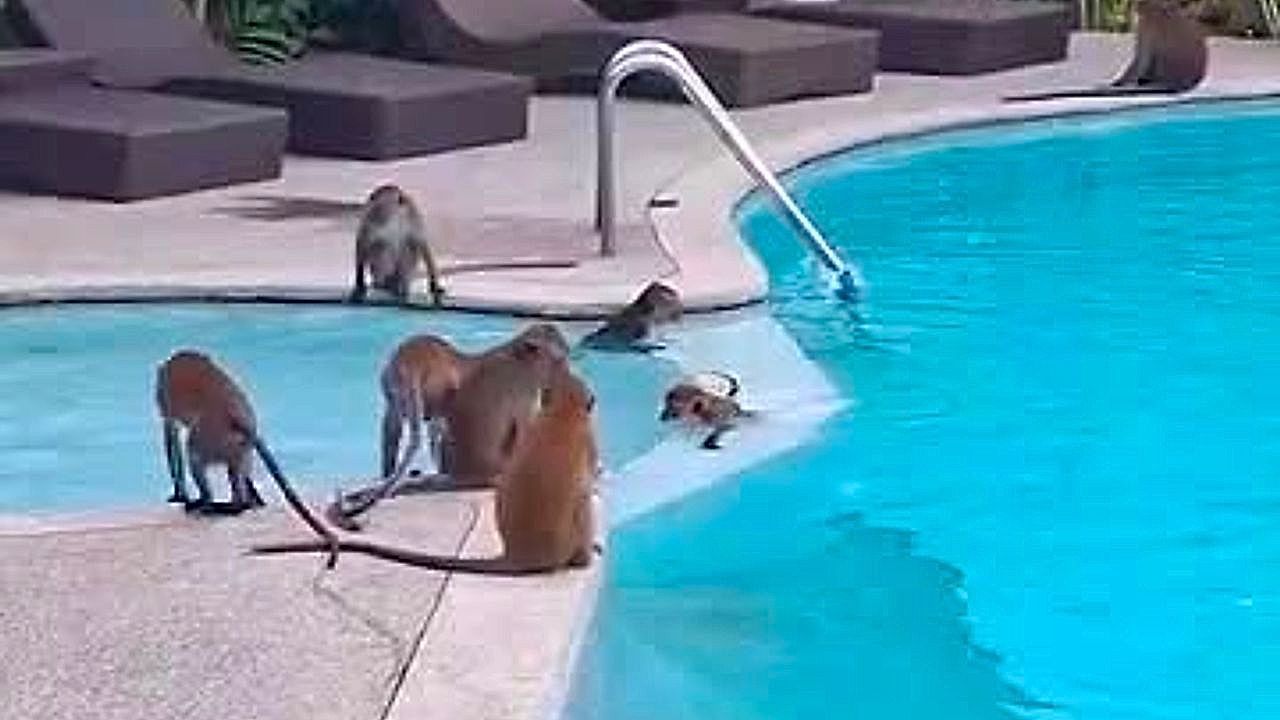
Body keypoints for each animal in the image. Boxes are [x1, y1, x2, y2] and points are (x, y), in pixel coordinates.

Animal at [155, 350, 340, 564]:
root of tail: (239, 418)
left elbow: (171, 438)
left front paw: (179, 493)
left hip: (210, 436)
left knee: (193, 455)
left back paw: (210, 502)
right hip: (238, 444)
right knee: (236, 468)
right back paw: (242, 503)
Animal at [253, 367, 601, 575]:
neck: (561, 413)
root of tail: (521, 552)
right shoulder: (588, 439)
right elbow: (589, 483)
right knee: (583, 503)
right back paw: (584, 557)